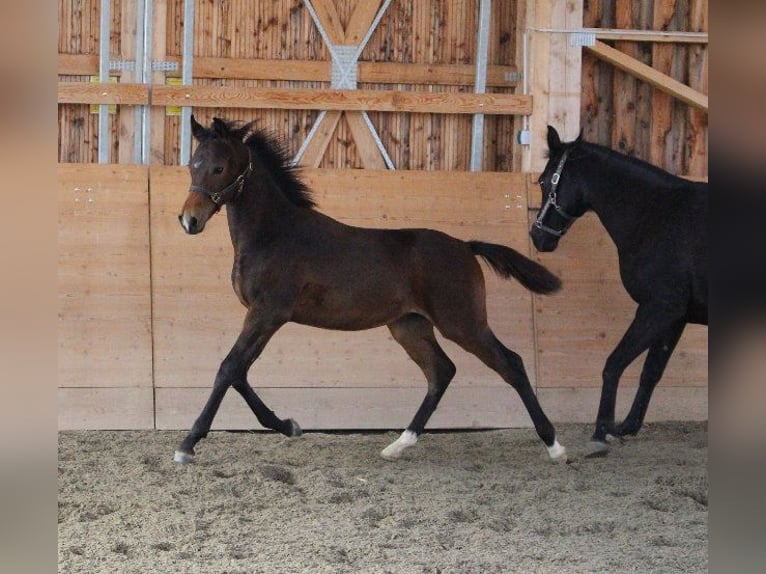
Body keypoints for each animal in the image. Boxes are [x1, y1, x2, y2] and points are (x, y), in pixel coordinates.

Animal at [176, 116, 568, 464]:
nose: (189, 220)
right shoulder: (264, 318)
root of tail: (465, 246)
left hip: (463, 323)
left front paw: (188, 443)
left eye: (219, 167)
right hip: (409, 325)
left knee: (510, 364)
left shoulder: (267, 313)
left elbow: (228, 368)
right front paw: (288, 425)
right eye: (193, 166)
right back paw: (399, 444)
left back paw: (554, 445)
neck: (273, 234)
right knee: (441, 372)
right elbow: (240, 372)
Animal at [536, 127, 708, 460]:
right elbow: (651, 371)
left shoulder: (658, 309)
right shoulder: (675, 317)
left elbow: (614, 363)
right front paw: (627, 426)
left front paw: (601, 432)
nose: (537, 236)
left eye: (544, 180)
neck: (658, 216)